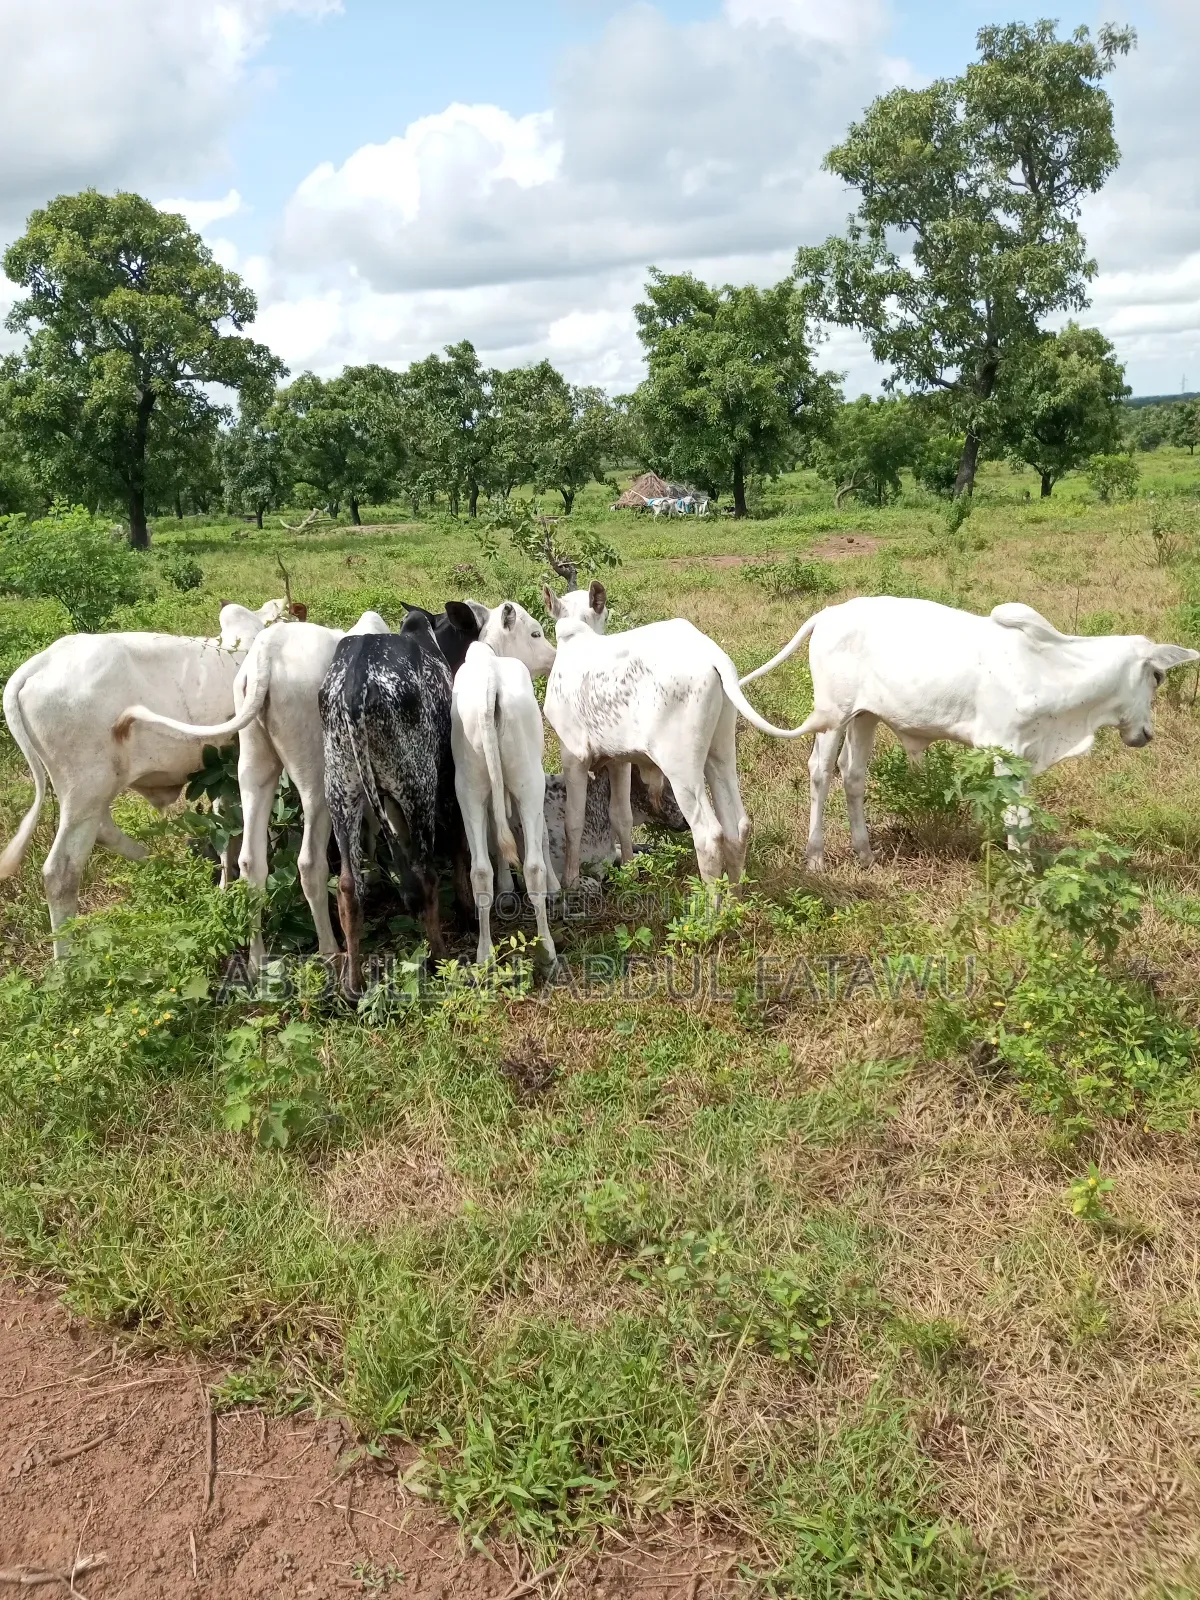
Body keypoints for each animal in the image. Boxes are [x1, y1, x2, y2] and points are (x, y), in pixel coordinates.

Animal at [0, 599, 287, 954]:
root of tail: (35, 666)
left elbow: (224, 825)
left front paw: (223, 882)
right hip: (87, 788)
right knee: (61, 872)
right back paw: (66, 961)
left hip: (88, 793)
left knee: (103, 832)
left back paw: (167, 867)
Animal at [319, 612, 459, 993]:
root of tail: (353, 688)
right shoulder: (444, 778)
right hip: (418, 786)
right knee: (425, 873)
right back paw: (440, 956)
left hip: (341, 791)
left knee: (348, 886)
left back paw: (354, 984)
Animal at [451, 603, 558, 965]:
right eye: (536, 633)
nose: (554, 657)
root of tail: (490, 683)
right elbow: (541, 837)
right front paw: (554, 885)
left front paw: (506, 889)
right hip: (529, 780)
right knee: (533, 866)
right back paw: (547, 949)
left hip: (468, 787)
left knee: (479, 871)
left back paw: (484, 953)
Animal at [541, 581, 806, 890]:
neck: (576, 637)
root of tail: (712, 654)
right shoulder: (619, 760)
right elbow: (621, 815)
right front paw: (630, 873)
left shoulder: (574, 754)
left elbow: (574, 821)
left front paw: (571, 880)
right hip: (721, 752)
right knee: (737, 825)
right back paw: (734, 896)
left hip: (681, 766)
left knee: (708, 834)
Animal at [739, 596, 1200, 870]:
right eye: (1157, 676)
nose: (1147, 733)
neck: (1053, 672)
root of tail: (829, 614)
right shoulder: (1004, 751)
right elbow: (1016, 819)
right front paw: (1022, 875)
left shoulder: (1024, 756)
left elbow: (1023, 817)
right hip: (834, 715)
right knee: (820, 772)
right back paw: (815, 857)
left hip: (864, 716)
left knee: (853, 776)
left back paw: (865, 853)